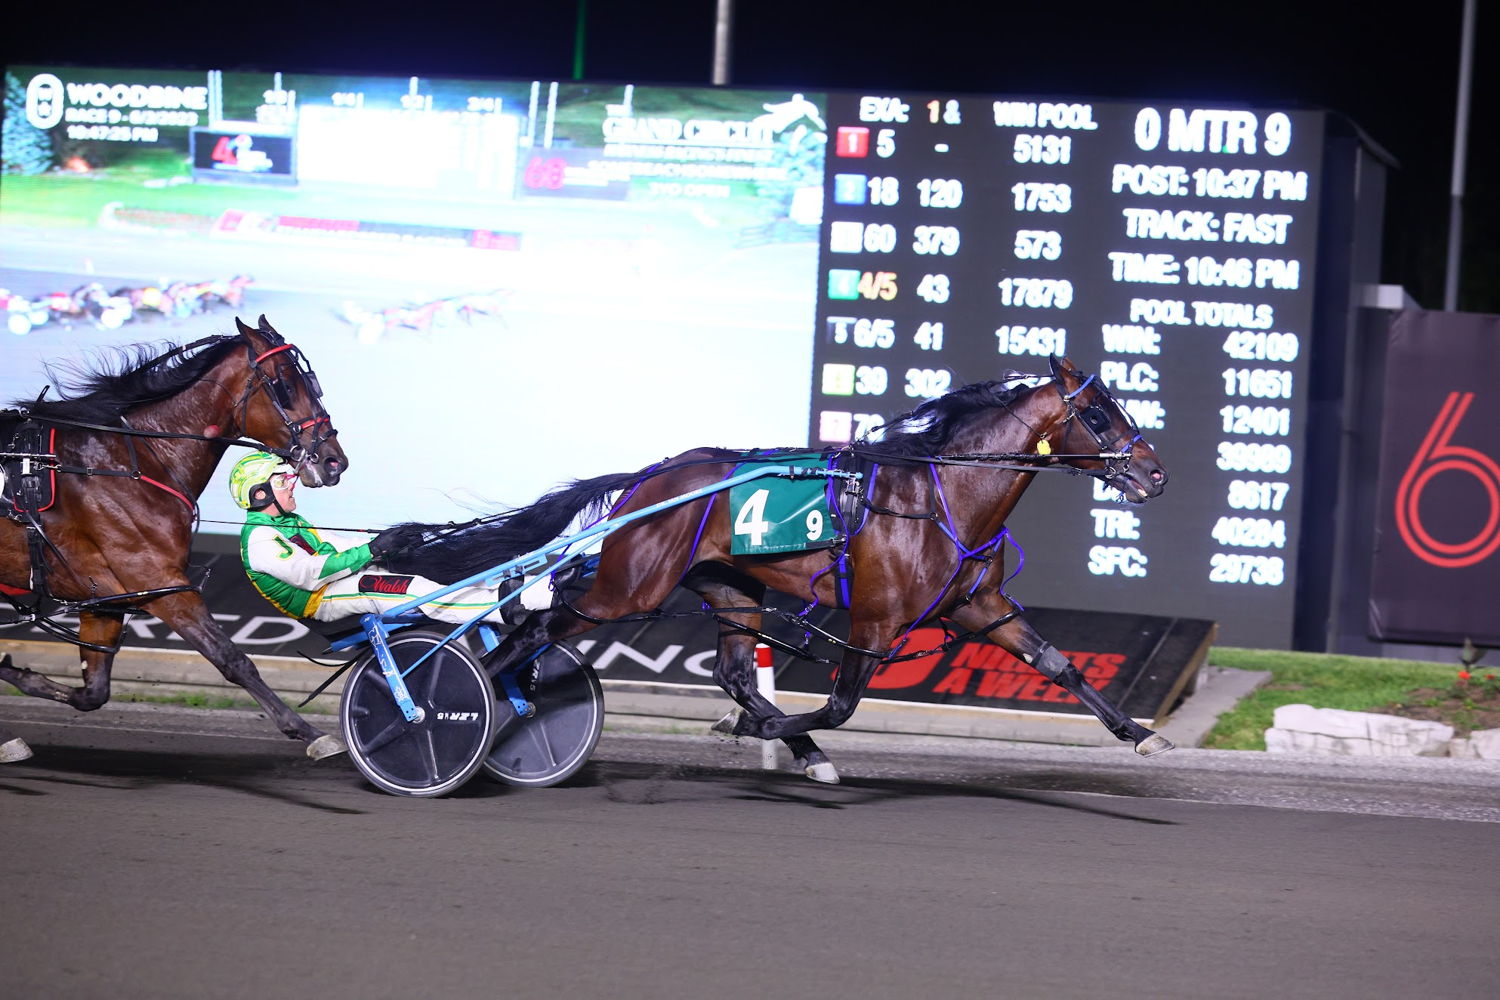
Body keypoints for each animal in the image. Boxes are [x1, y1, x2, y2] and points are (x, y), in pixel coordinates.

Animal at [0, 316, 348, 761]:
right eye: (286, 384)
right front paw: (310, 732)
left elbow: (93, 692)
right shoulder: (161, 585)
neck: (129, 463)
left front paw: (17, 675)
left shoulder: (103, 597)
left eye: (311, 381)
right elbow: (232, 658)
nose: (335, 460)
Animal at [387, 355, 1170, 785]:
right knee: (537, 624)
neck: (941, 498)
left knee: (733, 671)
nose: (1155, 474)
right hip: (627, 588)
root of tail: (651, 477)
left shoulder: (982, 607)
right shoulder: (874, 620)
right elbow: (842, 703)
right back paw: (441, 704)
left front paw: (1143, 734)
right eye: (1099, 416)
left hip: (730, 587)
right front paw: (753, 733)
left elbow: (1060, 665)